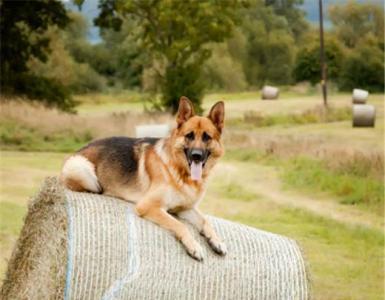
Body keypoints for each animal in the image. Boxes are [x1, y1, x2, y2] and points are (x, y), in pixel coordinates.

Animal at [60, 96, 225, 260]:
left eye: (207, 137)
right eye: (189, 135)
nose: (196, 156)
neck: (180, 171)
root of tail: (78, 151)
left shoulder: (185, 208)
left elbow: (205, 221)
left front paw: (216, 240)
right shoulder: (149, 206)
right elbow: (180, 225)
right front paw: (194, 246)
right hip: (82, 169)